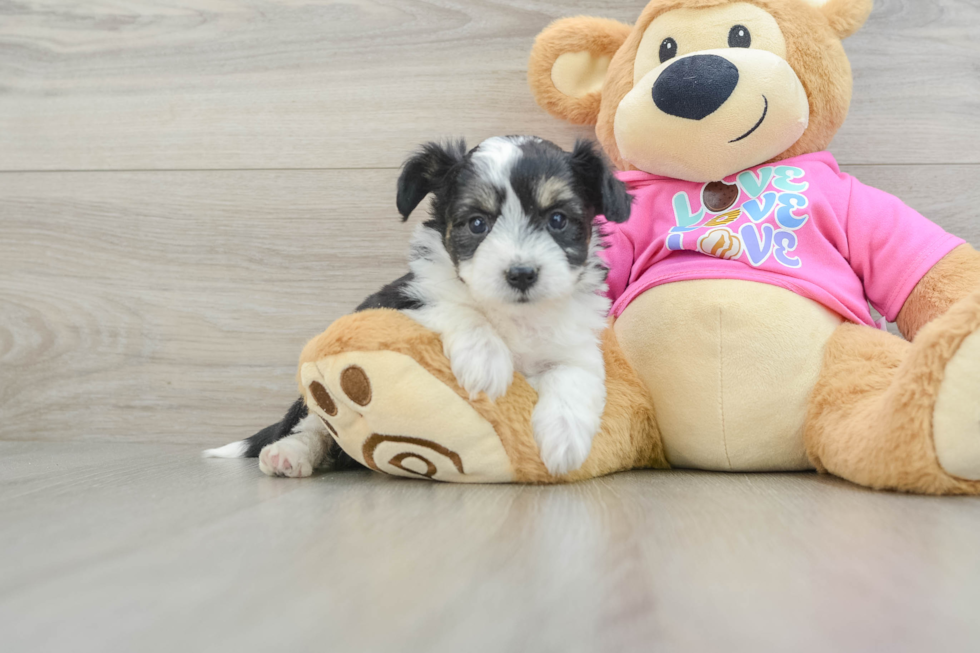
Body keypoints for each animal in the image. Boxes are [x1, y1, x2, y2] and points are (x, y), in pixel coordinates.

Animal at [208, 136, 636, 474]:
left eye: (558, 220)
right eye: (477, 223)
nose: (521, 273)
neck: (514, 315)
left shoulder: (575, 345)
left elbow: (574, 377)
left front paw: (565, 441)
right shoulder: (401, 300)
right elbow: (455, 305)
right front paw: (486, 362)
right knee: (312, 426)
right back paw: (289, 455)